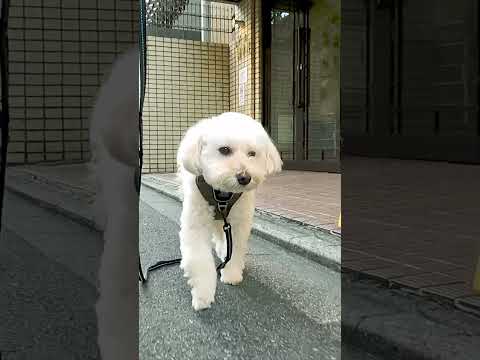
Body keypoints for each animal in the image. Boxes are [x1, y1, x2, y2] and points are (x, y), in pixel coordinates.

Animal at [175, 112, 282, 310]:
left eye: (252, 153)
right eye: (224, 150)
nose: (244, 177)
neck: (222, 195)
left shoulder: (238, 221)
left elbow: (235, 248)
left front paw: (231, 274)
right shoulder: (196, 222)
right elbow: (200, 260)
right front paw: (203, 295)